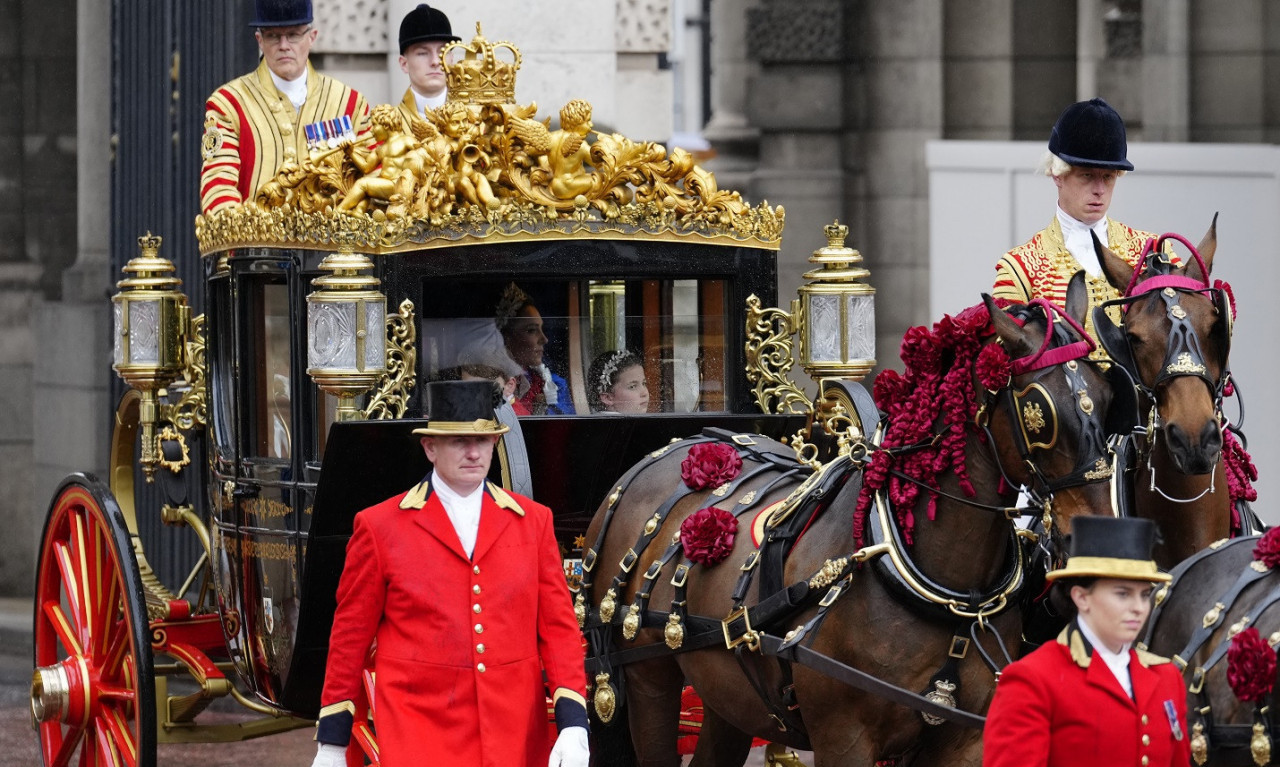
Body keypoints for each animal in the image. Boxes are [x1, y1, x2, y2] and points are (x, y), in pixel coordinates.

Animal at [586, 279, 1116, 763]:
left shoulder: (963, 740)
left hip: (727, 690)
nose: (1096, 542)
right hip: (649, 678)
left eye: (1107, 395)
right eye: (1038, 411)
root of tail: (673, 448)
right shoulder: (844, 739)